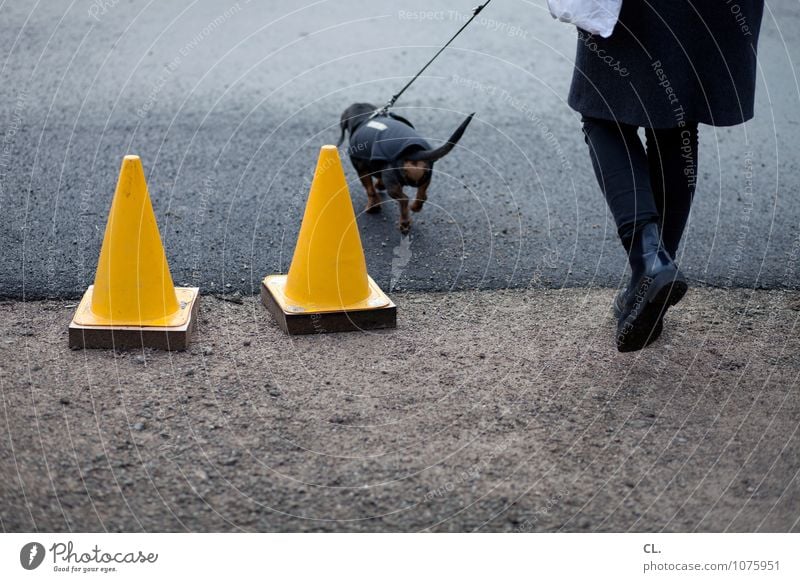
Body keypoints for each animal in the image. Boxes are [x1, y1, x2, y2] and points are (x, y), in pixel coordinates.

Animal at [334, 102, 472, 233]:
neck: (365, 117)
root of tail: (414, 151)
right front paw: (379, 186)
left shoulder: (361, 169)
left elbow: (370, 189)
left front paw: (373, 206)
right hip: (425, 176)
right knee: (422, 196)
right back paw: (415, 207)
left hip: (392, 181)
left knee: (404, 199)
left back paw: (404, 223)